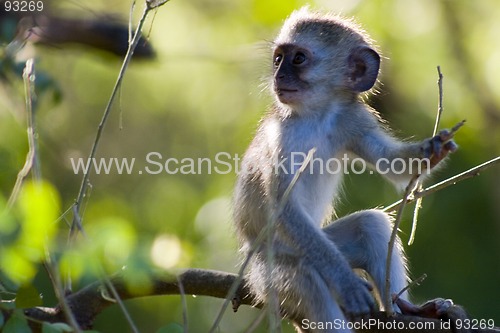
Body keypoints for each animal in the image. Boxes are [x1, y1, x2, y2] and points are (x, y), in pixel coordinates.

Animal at [232, 5, 458, 332]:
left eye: (298, 59)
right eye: (278, 58)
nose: (278, 76)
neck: (318, 115)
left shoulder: (353, 118)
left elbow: (391, 164)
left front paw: (432, 149)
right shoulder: (281, 136)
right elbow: (282, 206)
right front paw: (346, 284)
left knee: (371, 224)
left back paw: (405, 308)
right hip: (268, 271)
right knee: (308, 279)